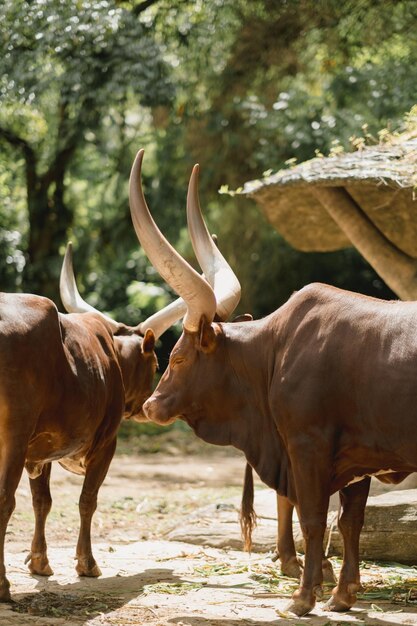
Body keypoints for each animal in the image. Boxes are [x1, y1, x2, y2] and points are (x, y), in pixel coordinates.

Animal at [0, 241, 187, 596]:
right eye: (157, 364)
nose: (147, 407)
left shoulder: (40, 451)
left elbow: (42, 501)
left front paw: (39, 561)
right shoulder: (105, 445)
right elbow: (88, 500)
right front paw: (87, 563)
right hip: (11, 440)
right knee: (5, 499)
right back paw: (3, 584)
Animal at [129, 149, 417, 616]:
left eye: (178, 357)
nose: (150, 406)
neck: (277, 349)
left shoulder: (307, 445)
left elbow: (313, 518)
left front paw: (302, 597)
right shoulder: (358, 459)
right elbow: (349, 522)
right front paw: (342, 595)